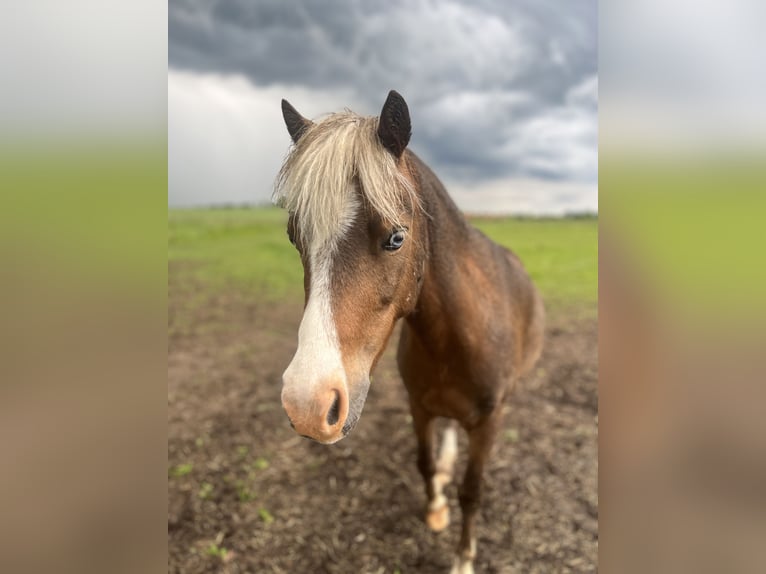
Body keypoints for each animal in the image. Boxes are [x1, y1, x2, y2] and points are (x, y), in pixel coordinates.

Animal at [274, 90, 544, 574]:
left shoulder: (488, 423)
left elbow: (472, 492)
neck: (453, 342)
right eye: (294, 237)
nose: (307, 405)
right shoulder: (418, 407)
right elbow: (423, 464)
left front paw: (463, 559)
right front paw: (435, 506)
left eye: (396, 238)